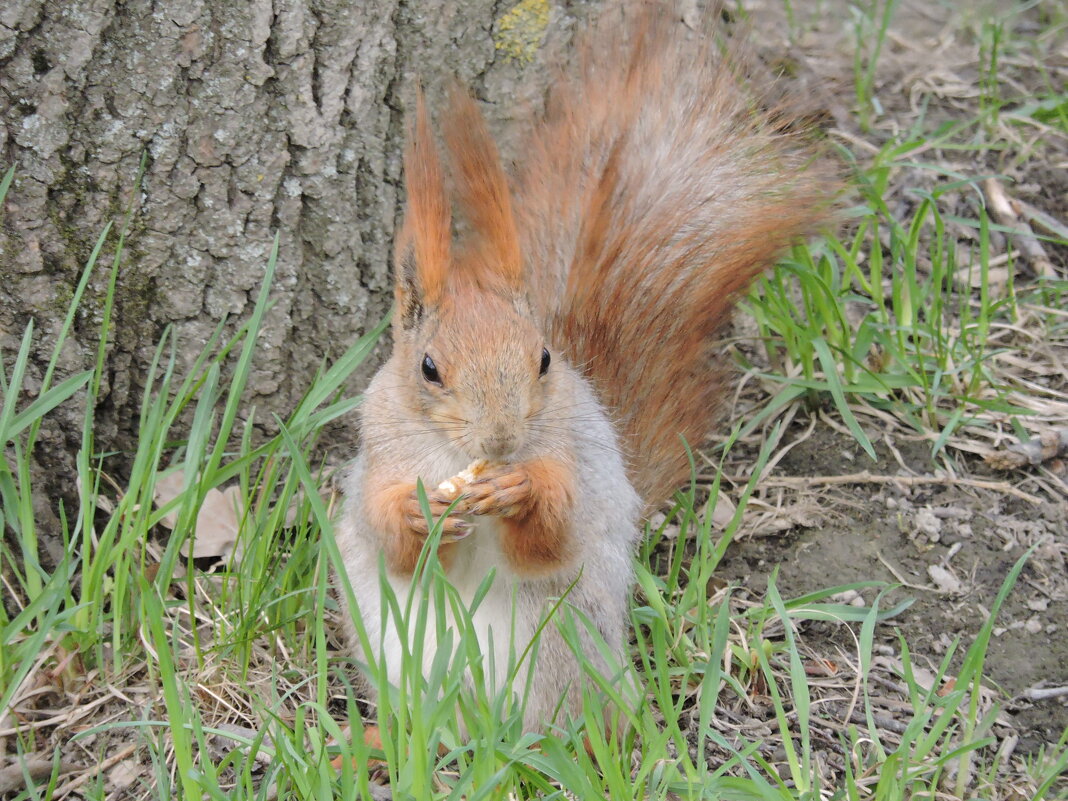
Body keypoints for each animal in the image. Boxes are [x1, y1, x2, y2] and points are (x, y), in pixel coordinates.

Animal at [335, 4, 833, 734]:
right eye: (428, 367)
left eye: (543, 357)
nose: (501, 442)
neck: (453, 455)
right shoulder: (380, 450)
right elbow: (388, 536)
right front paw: (417, 513)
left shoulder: (577, 456)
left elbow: (551, 539)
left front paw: (521, 491)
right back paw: (378, 740)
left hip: (556, 648)